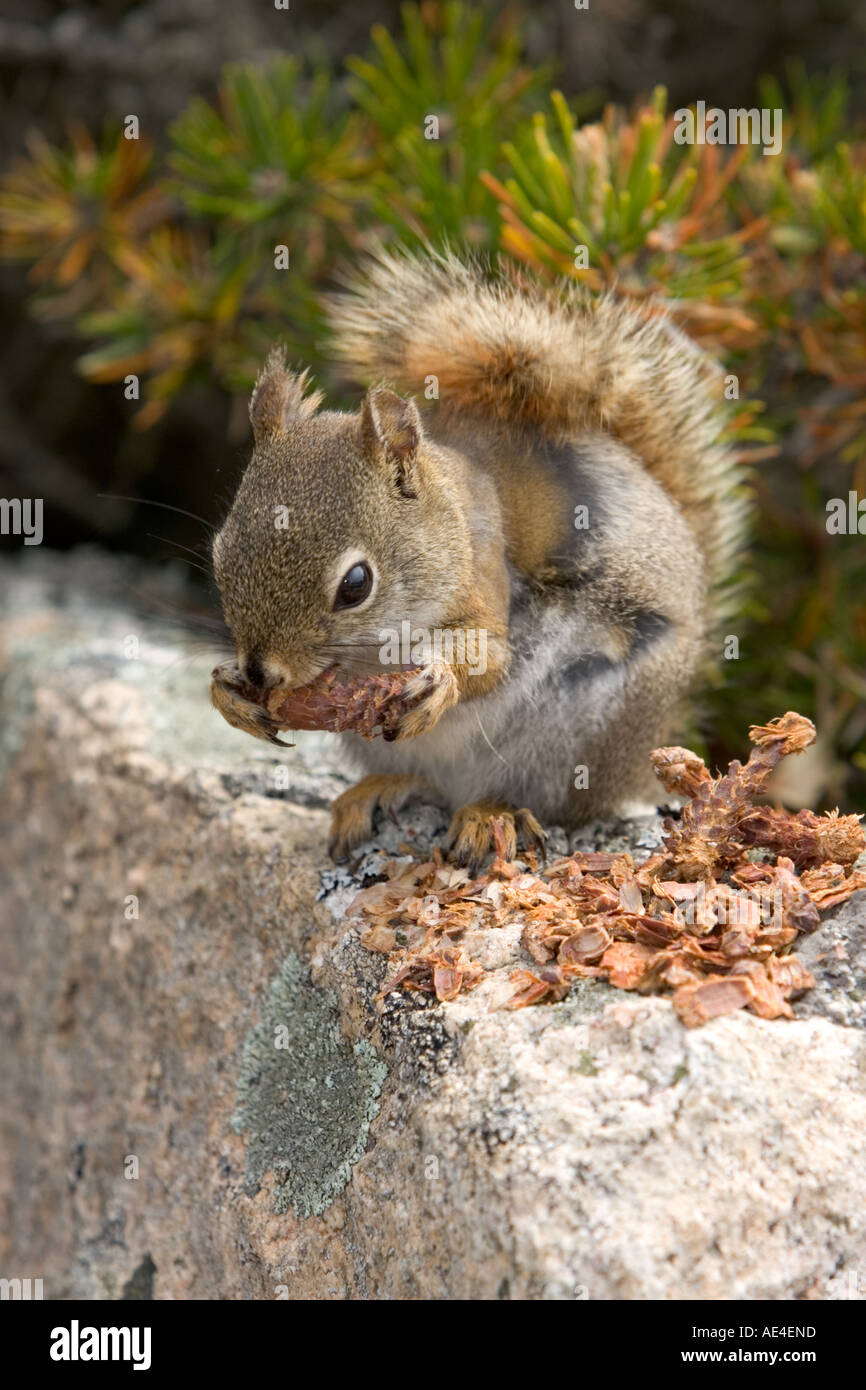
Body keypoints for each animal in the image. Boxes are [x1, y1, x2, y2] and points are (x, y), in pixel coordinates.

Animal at [210, 249, 747, 871]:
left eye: (356, 585)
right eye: (219, 553)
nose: (261, 674)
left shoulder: (484, 578)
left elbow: (488, 658)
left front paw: (441, 677)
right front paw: (227, 694)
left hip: (575, 736)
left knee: (537, 798)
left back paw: (489, 814)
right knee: (423, 781)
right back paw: (377, 791)